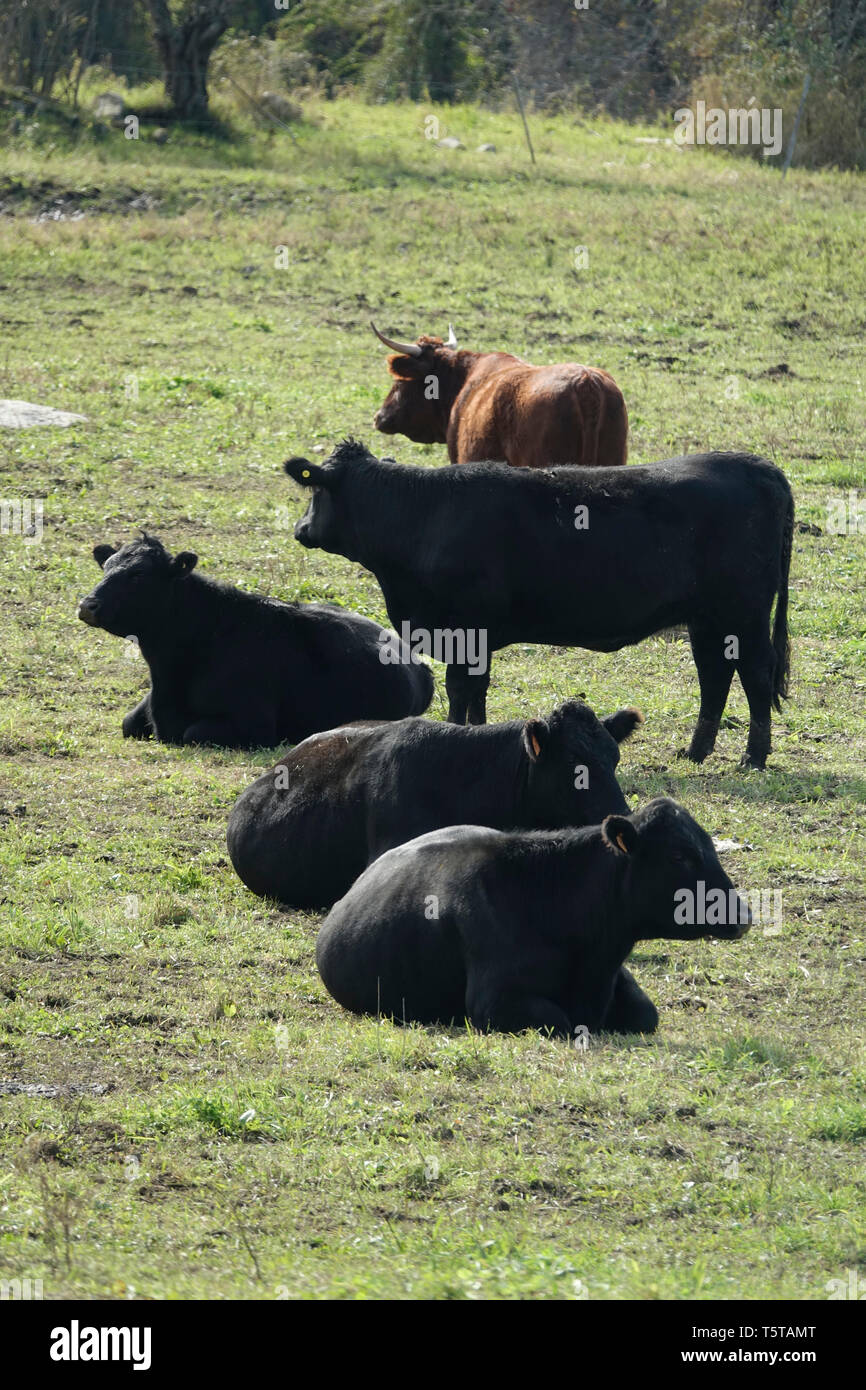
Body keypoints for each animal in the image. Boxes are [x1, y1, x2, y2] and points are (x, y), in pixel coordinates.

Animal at [77, 534, 433, 748]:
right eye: (106, 566)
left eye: (138, 574)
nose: (87, 605)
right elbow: (128, 723)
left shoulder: (252, 725)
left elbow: (194, 732)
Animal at [284, 440, 793, 769]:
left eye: (316, 490)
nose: (300, 530)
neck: (424, 517)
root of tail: (754, 464)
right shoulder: (475, 638)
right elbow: (478, 690)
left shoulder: (464, 628)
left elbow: (459, 688)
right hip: (708, 619)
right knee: (715, 675)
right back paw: (696, 751)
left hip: (743, 613)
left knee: (755, 674)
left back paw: (753, 756)